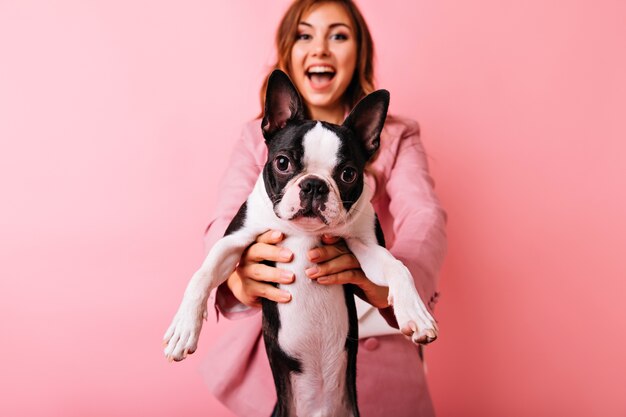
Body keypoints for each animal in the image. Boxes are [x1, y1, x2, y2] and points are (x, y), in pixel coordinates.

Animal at [163, 70, 436, 416]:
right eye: (283, 163)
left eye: (348, 174)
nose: (315, 185)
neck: (304, 232)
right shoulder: (235, 239)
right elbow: (203, 273)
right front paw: (183, 329)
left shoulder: (365, 247)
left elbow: (397, 266)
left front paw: (415, 313)